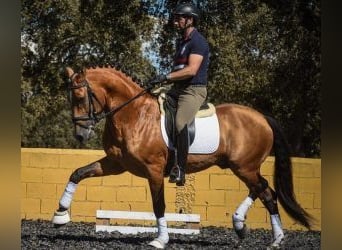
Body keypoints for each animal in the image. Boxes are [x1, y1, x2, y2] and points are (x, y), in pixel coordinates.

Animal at [52, 65, 312, 249]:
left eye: (81, 97)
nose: (80, 134)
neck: (133, 114)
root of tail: (262, 118)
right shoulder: (116, 164)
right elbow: (77, 173)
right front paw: (60, 215)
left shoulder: (154, 170)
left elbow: (159, 205)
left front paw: (161, 239)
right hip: (242, 166)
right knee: (264, 190)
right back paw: (255, 230)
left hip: (244, 166)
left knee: (264, 191)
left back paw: (260, 232)